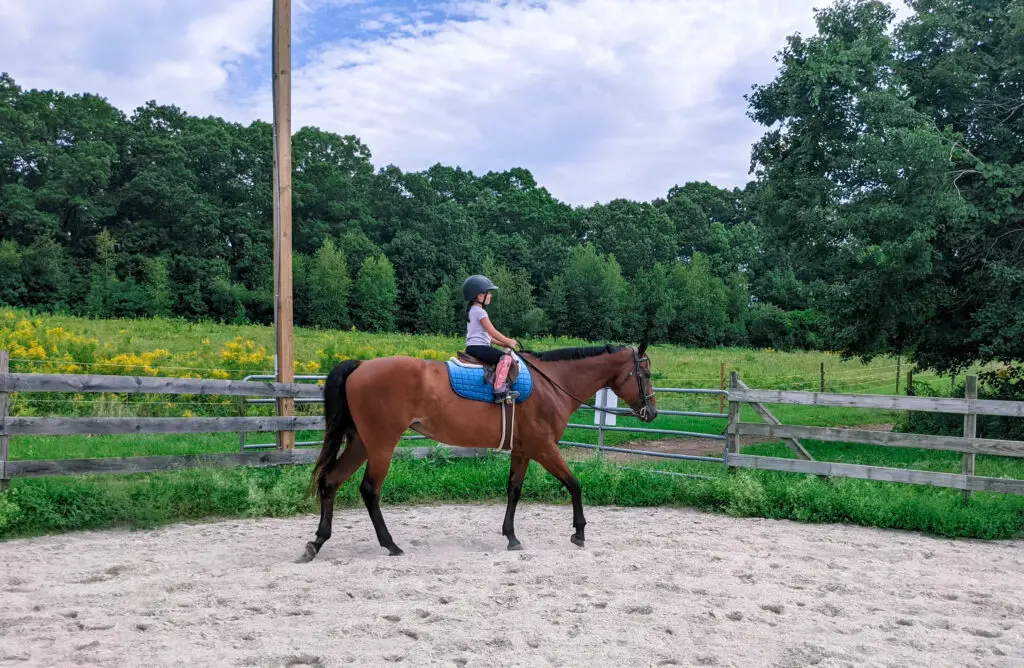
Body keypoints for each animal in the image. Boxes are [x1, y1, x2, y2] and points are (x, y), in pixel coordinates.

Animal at [299, 342, 659, 561]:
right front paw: (579, 532)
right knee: (369, 490)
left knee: (331, 481)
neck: (552, 383)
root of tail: (360, 366)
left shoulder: (524, 450)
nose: (652, 412)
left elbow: (514, 490)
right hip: (381, 445)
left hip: (361, 443)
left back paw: (317, 542)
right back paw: (390, 544)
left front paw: (511, 537)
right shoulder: (544, 448)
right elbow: (574, 483)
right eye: (646, 373)